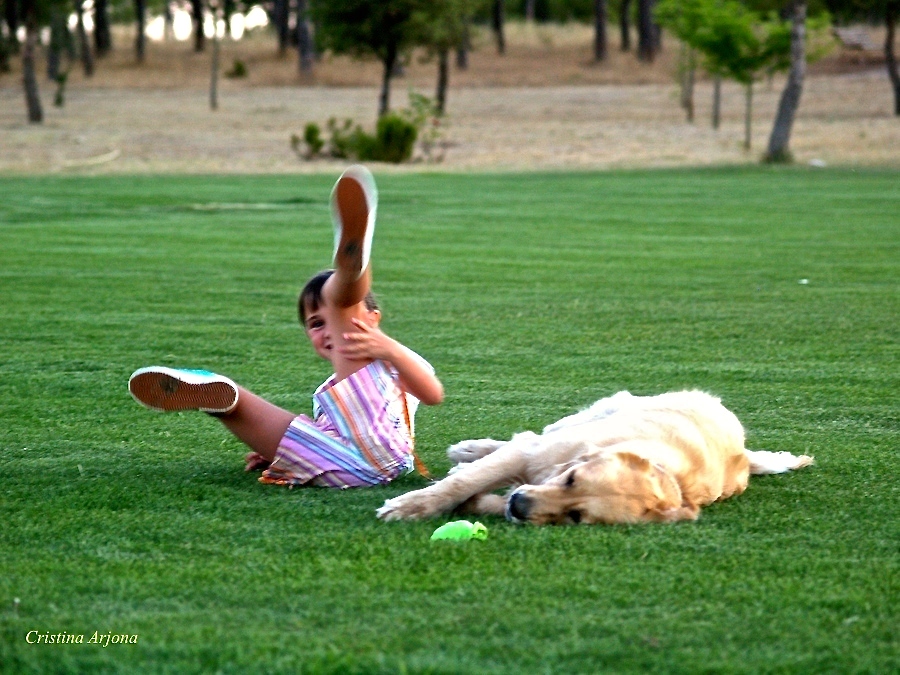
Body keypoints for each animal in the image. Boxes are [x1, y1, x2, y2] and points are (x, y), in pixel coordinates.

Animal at [376, 390, 812, 528]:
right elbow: (464, 482)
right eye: (572, 480)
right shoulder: (532, 455)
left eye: (575, 516)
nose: (521, 506)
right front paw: (411, 506)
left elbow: (483, 495)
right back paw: (469, 450)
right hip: (604, 408)